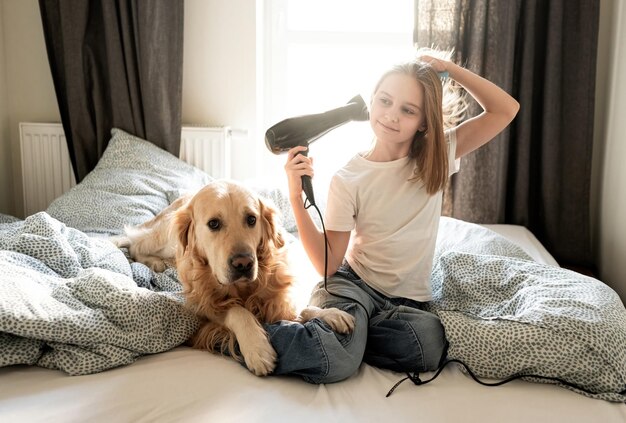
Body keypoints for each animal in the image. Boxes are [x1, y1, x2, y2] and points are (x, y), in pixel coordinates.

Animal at [112, 181, 354, 376]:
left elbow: (299, 309)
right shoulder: (203, 307)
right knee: (134, 244)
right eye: (214, 224)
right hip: (164, 236)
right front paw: (257, 347)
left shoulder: (276, 299)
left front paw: (329, 313)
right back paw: (153, 262)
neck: (244, 288)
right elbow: (238, 311)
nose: (243, 264)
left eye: (251, 219)